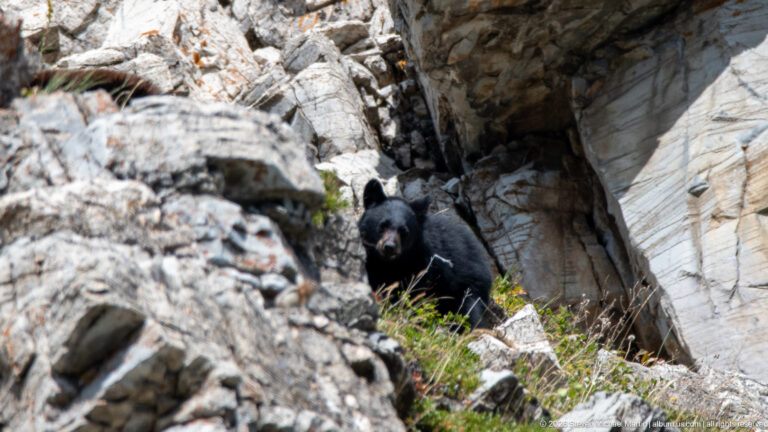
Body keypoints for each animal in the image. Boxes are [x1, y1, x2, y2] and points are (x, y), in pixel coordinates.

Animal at [358, 179, 491, 329]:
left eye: (404, 231)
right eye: (383, 225)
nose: (389, 247)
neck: (387, 264)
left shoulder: (423, 266)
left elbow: (413, 295)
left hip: (468, 288)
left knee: (470, 314)